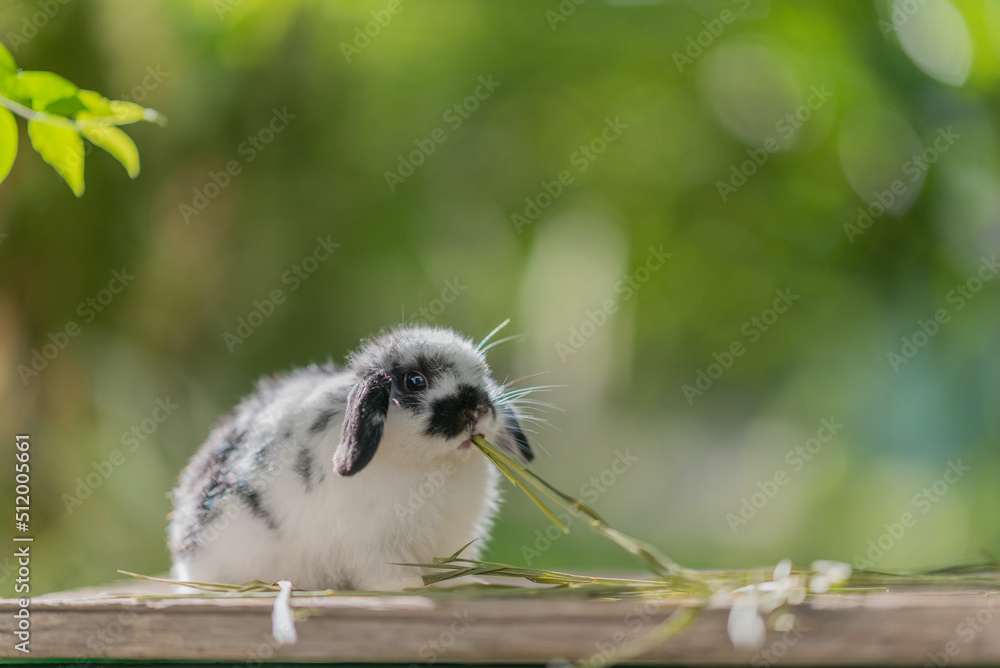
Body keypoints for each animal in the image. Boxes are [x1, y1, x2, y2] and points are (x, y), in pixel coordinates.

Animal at [167, 324, 536, 591]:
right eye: (415, 380)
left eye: (482, 374)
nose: (476, 412)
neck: (431, 467)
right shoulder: (372, 548)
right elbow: (385, 573)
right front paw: (408, 587)